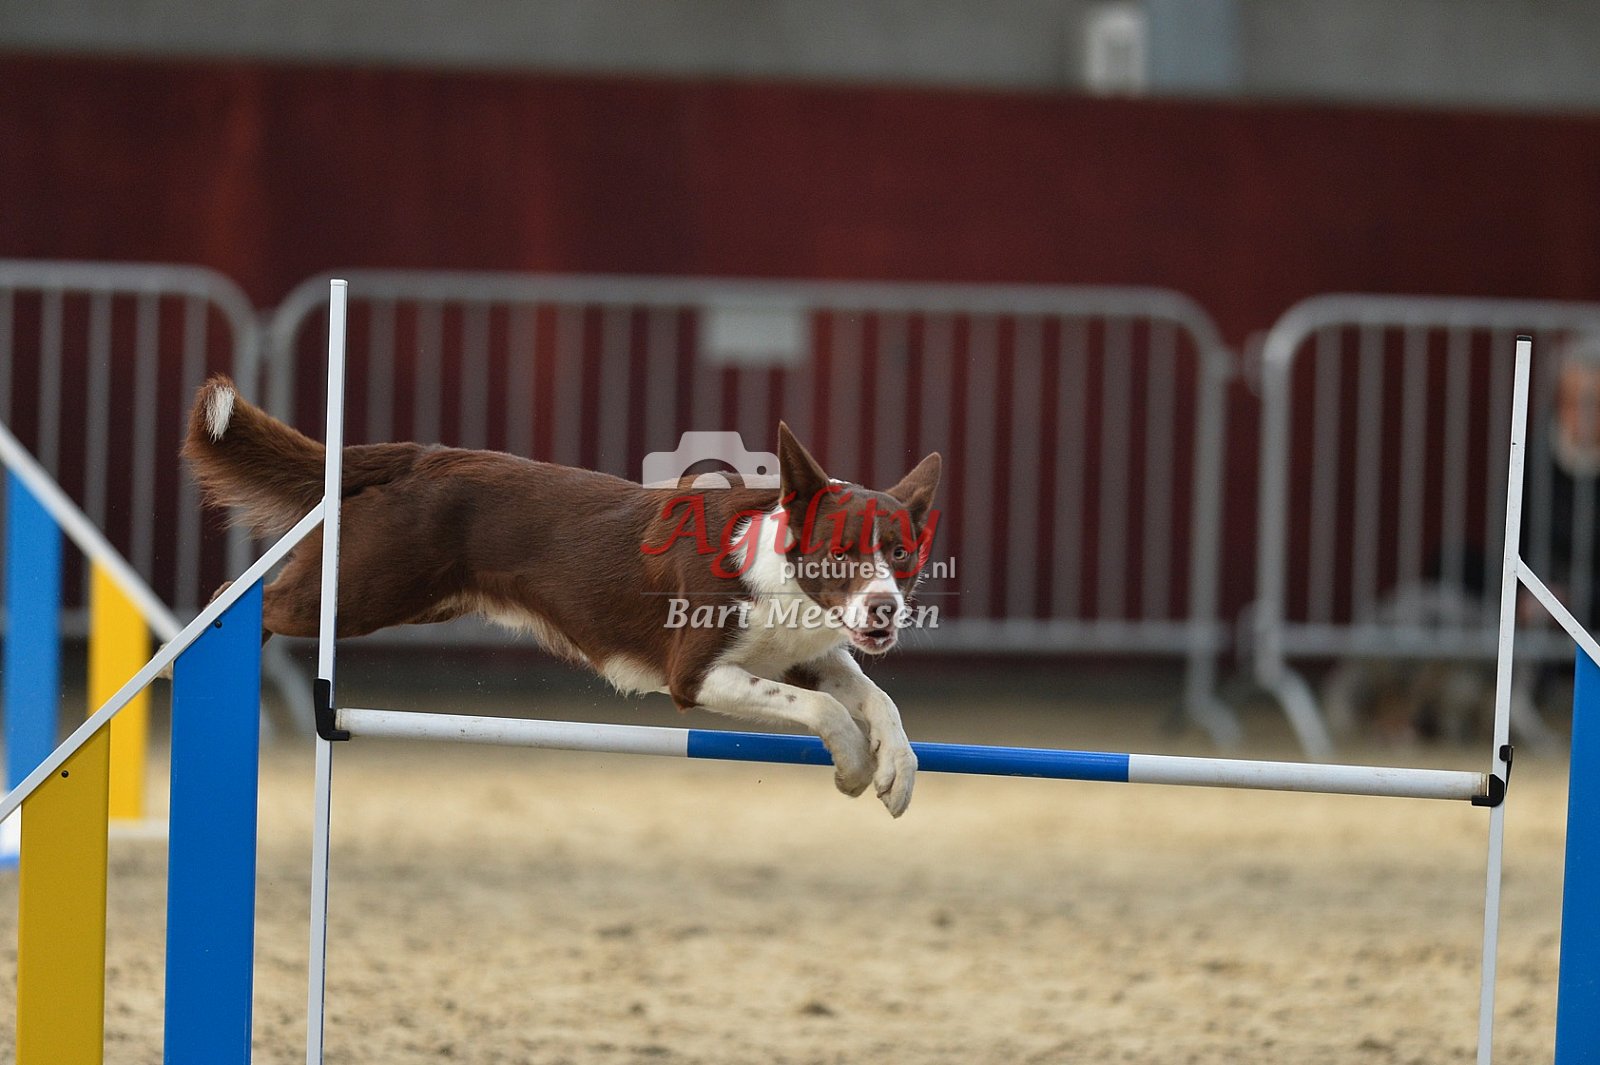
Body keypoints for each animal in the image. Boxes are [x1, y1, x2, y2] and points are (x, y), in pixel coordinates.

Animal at [184, 377, 941, 817]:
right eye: (843, 551)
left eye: (901, 554)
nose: (885, 609)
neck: (785, 581)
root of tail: (425, 456)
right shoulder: (696, 672)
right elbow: (824, 707)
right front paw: (854, 766)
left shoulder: (805, 653)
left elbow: (877, 697)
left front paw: (898, 772)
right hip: (364, 590)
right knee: (252, 598)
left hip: (413, 595)